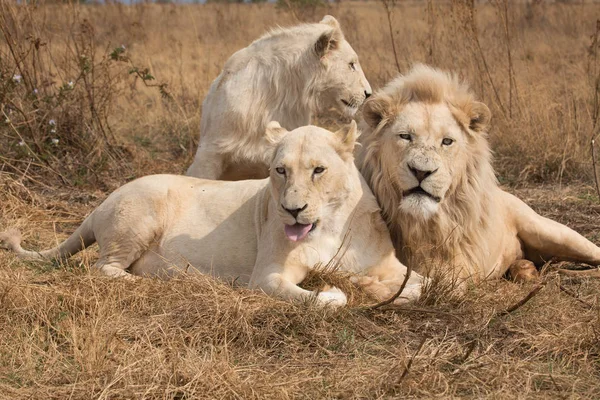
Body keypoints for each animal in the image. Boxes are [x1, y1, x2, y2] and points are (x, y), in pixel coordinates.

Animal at [1, 122, 426, 306]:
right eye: (280, 170)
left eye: (318, 170)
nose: (292, 210)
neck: (332, 226)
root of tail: (100, 203)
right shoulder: (265, 277)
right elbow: (326, 298)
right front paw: (340, 290)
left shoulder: (391, 263)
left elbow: (423, 282)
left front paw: (382, 287)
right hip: (140, 212)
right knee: (103, 268)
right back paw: (152, 282)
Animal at [356, 65, 600, 282]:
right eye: (405, 136)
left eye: (447, 141)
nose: (421, 172)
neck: (420, 223)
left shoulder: (459, 266)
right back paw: (525, 269)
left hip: (551, 232)